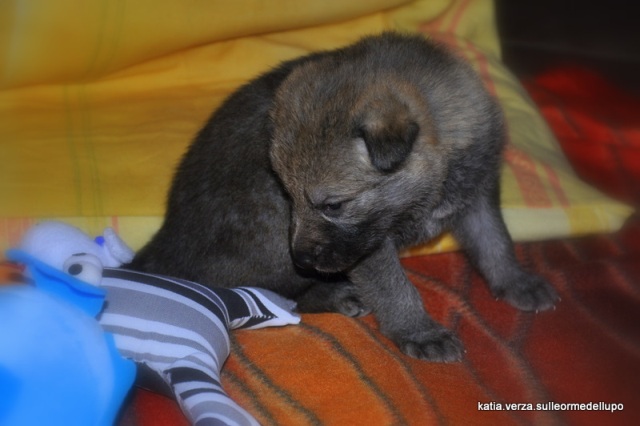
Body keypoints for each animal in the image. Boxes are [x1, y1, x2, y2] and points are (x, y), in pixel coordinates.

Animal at [129, 33, 559, 362]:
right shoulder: (369, 247)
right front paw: (418, 331)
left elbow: (495, 242)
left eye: (333, 205)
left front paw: (517, 282)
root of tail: (162, 246)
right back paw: (334, 294)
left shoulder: (478, 196)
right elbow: (395, 289)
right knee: (269, 292)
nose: (302, 258)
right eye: (289, 195)